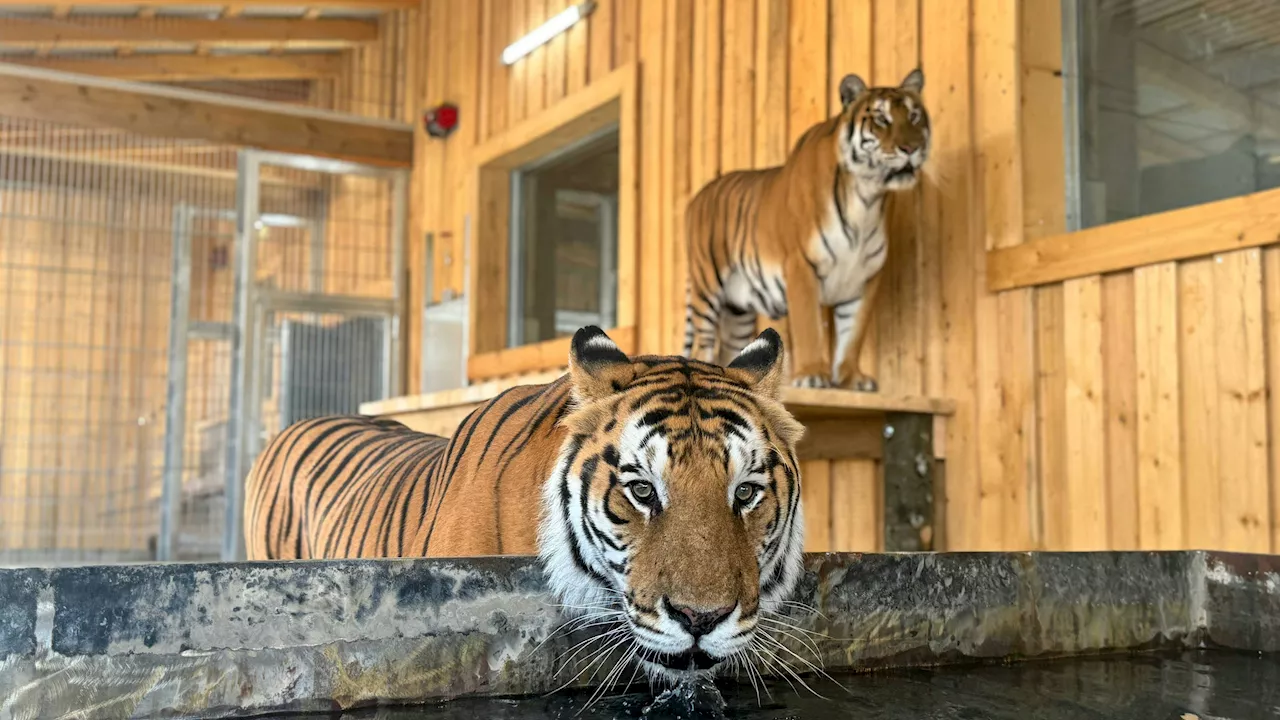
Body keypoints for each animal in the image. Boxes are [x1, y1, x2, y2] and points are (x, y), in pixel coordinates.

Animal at [680, 67, 931, 392]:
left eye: (914, 116)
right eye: (881, 119)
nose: (911, 149)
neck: (867, 198)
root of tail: (695, 198)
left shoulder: (866, 276)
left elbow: (853, 334)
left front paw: (852, 378)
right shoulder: (801, 265)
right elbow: (809, 326)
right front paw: (812, 376)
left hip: (737, 310)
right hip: (707, 289)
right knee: (703, 343)